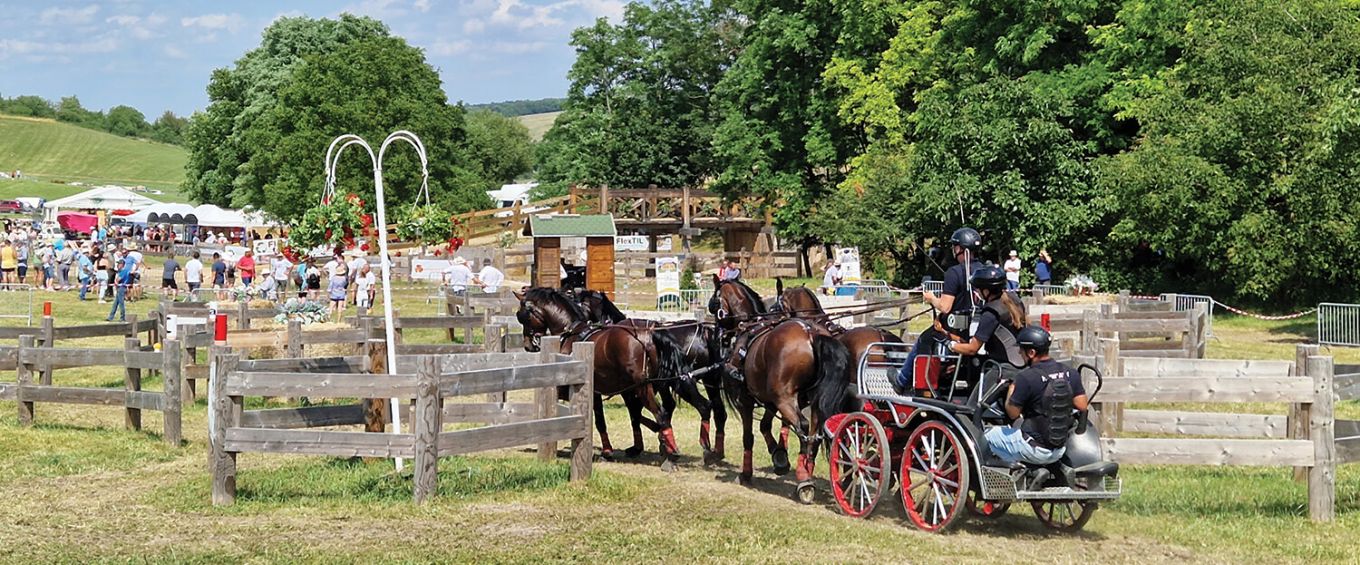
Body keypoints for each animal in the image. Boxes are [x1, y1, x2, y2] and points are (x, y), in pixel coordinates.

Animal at [516, 287, 696, 468]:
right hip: (658, 384)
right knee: (664, 409)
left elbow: (601, 420)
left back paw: (669, 450)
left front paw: (608, 451)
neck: (572, 332)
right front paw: (613, 449)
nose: (528, 345)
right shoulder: (601, 391)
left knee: (660, 414)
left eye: (522, 316)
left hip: (643, 388)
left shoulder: (576, 388)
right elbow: (619, 416)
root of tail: (650, 334)